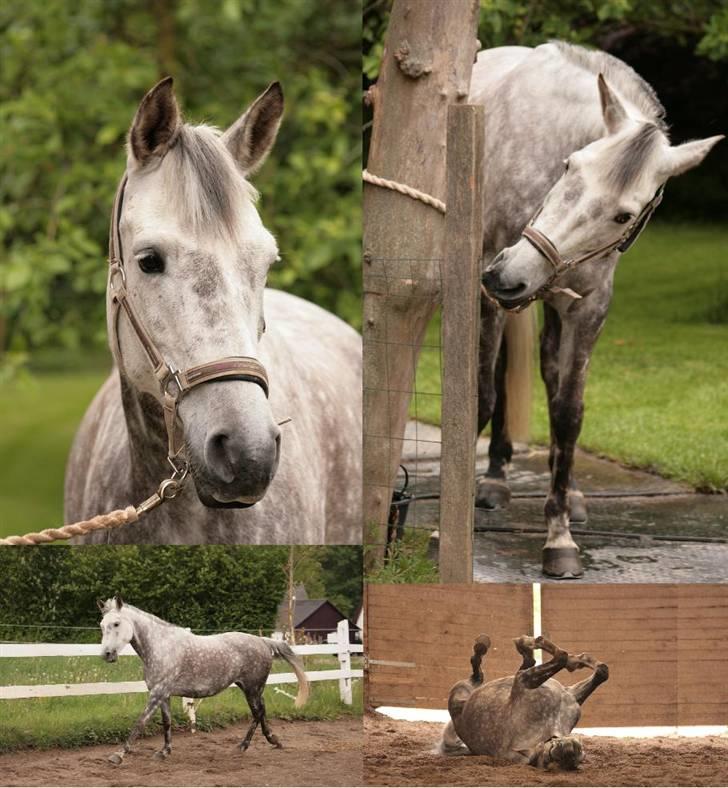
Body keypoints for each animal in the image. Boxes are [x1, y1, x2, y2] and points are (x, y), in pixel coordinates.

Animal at [97, 596, 308, 764]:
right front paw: (164, 752)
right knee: (262, 711)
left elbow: (140, 722)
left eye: (116, 623)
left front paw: (118, 755)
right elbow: (167, 722)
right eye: (101, 625)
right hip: (251, 688)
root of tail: (263, 642)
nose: (107, 655)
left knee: (257, 713)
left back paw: (243, 746)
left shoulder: (157, 694)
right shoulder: (163, 695)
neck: (161, 647)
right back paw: (274, 740)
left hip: (252, 688)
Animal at [440, 636, 604, 768]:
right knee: (523, 664)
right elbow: (602, 671)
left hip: (462, 690)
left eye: (573, 752)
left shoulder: (523, 680)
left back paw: (486, 646)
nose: (563, 744)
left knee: (477, 673)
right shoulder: (570, 696)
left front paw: (529, 642)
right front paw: (580, 660)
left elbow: (562, 656)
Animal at [472, 43, 724, 576]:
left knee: (545, 372)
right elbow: (481, 396)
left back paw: (550, 487)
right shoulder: (487, 294)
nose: (510, 275)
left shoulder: (588, 310)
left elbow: (569, 413)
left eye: (624, 215)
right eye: (570, 166)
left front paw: (559, 534)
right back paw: (495, 480)